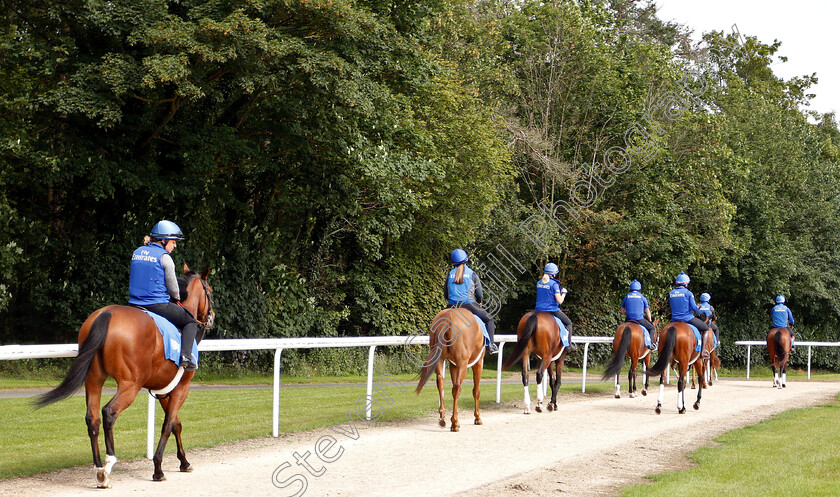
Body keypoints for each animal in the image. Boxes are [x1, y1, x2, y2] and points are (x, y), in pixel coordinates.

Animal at [36, 266, 215, 486]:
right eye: (210, 291)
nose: (211, 316)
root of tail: (107, 313)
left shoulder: (164, 391)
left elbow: (176, 424)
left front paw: (184, 461)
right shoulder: (182, 388)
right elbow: (168, 425)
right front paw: (158, 468)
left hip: (94, 380)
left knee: (92, 417)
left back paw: (99, 469)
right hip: (130, 385)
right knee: (109, 412)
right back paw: (109, 461)